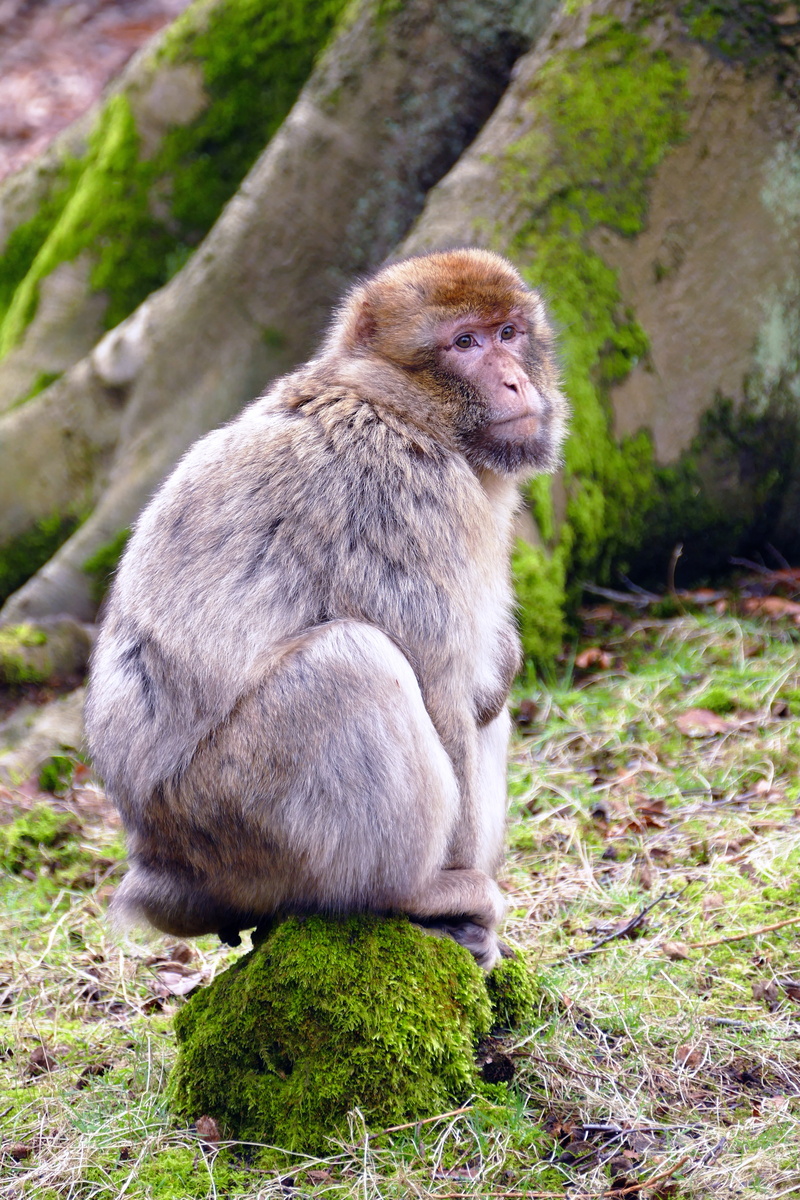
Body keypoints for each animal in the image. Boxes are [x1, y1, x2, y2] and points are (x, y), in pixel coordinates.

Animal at [86, 248, 567, 970]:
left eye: (508, 332)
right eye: (465, 343)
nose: (513, 381)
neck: (397, 407)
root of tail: (157, 864)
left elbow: (482, 682)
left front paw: (505, 660)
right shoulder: (406, 497)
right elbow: (439, 688)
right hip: (237, 815)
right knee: (351, 661)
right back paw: (417, 891)